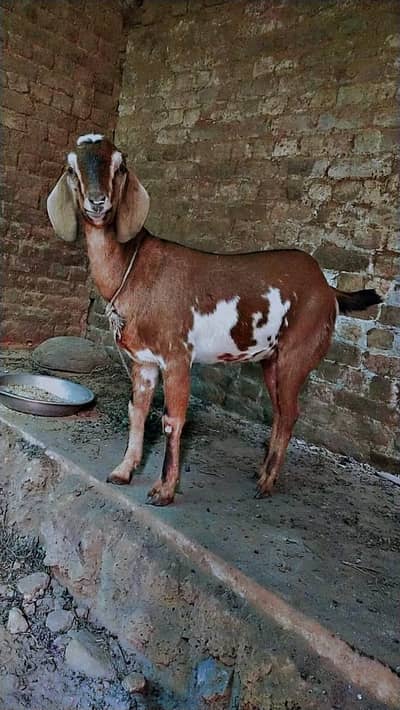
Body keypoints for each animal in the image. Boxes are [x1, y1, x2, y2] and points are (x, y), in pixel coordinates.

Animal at [47, 134, 382, 506]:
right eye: (71, 169)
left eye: (120, 166)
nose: (97, 202)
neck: (133, 269)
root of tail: (328, 288)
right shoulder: (143, 360)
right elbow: (138, 411)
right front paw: (123, 471)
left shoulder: (177, 356)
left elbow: (173, 419)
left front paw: (165, 490)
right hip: (271, 358)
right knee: (280, 412)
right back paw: (262, 471)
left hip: (299, 353)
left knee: (291, 413)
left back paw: (267, 482)